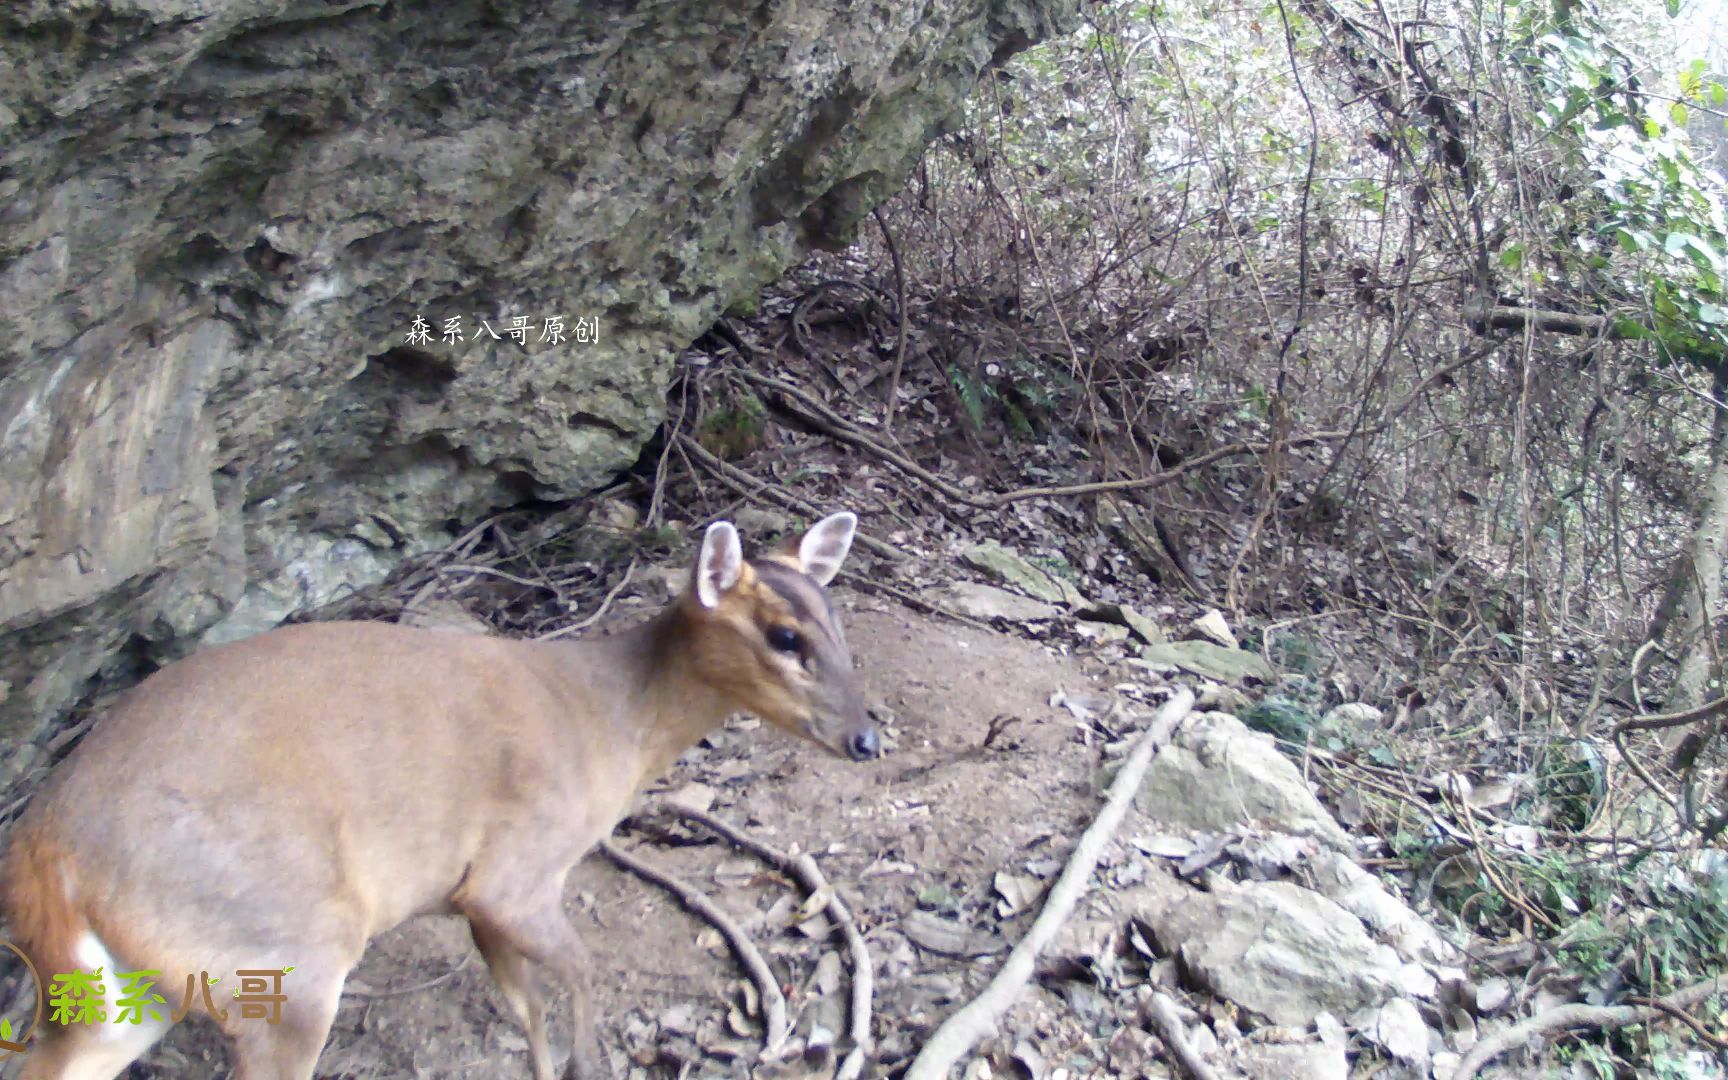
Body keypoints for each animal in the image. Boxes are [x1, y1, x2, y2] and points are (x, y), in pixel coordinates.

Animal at [0, 511, 864, 1078]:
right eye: (785, 637)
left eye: (838, 622)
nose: (867, 739)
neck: (609, 722)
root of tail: (44, 853)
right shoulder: (518, 869)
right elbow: (581, 972)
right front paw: (592, 1065)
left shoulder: (471, 898)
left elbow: (526, 1004)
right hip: (283, 947)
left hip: (123, 991)